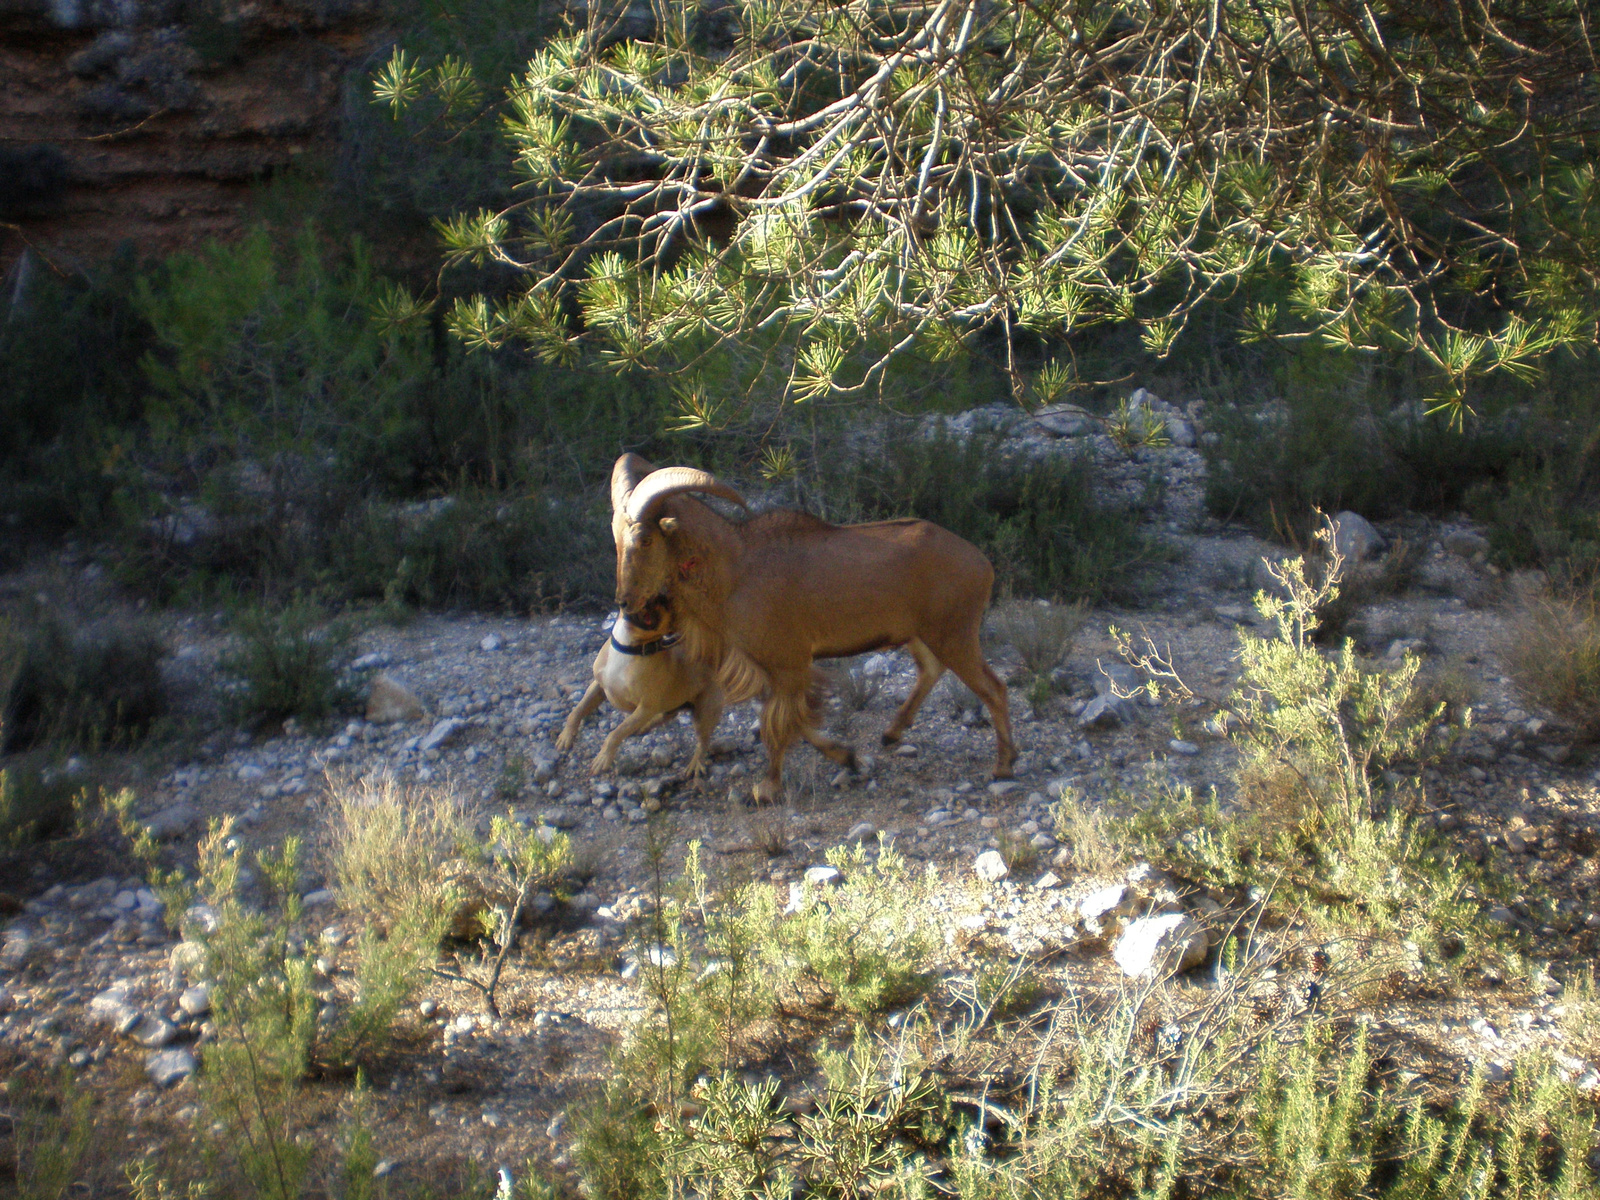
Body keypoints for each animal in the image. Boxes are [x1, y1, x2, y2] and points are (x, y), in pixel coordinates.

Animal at [553, 601, 723, 780]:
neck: (628, 647)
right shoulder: (598, 687)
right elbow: (577, 711)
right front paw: (566, 735)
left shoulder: (644, 708)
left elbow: (616, 733)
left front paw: (603, 758)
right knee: (668, 714)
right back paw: (644, 727)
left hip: (703, 715)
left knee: (703, 742)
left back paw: (696, 763)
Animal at [608, 454, 1011, 803]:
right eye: (616, 537)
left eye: (645, 539)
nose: (625, 602)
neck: (733, 570)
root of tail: (982, 563)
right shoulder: (771, 669)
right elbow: (795, 720)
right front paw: (848, 758)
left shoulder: (787, 662)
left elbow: (778, 724)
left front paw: (768, 788)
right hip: (922, 635)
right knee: (931, 670)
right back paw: (891, 733)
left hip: (954, 634)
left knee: (993, 688)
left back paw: (1004, 766)